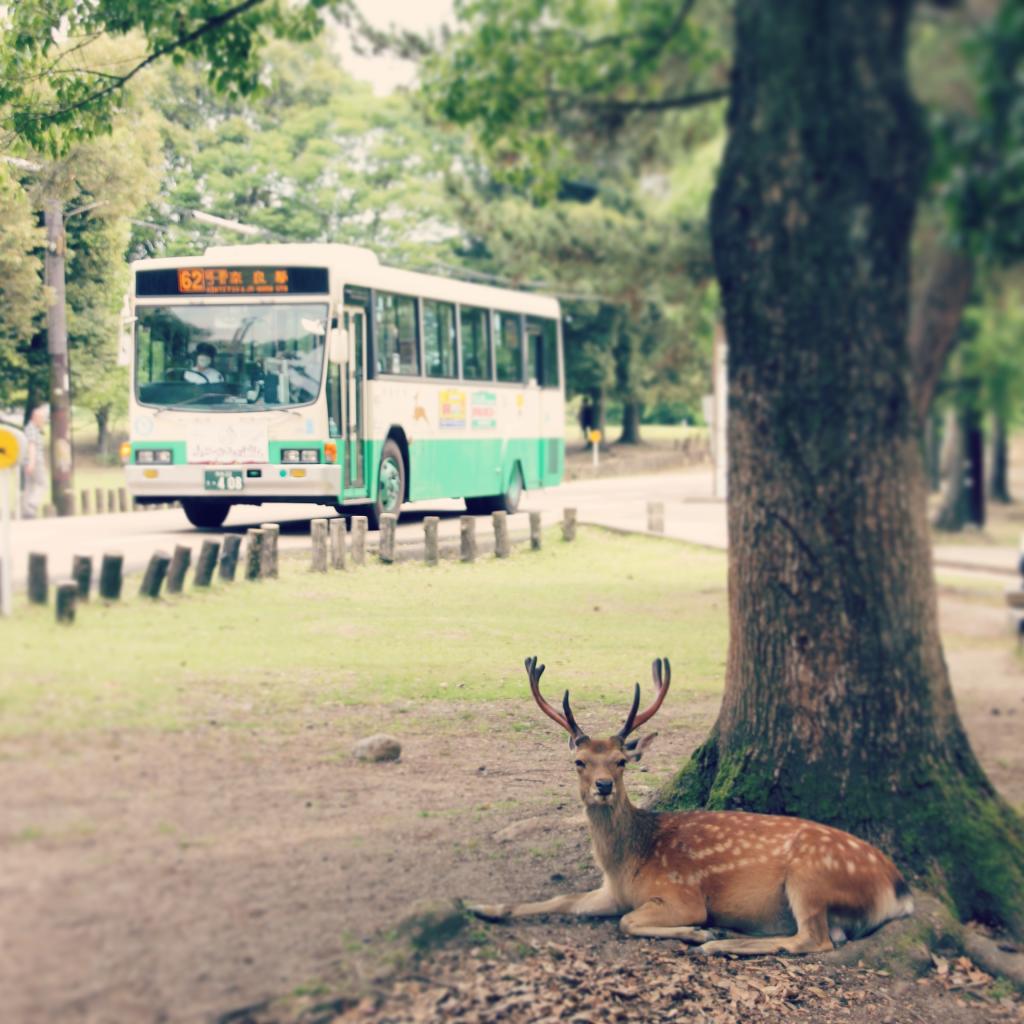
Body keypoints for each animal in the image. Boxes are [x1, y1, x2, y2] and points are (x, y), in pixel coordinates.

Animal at [468, 659, 917, 954]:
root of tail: (900, 889)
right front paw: (481, 906)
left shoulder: (682, 894)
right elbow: (560, 901)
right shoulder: (609, 892)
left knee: (815, 940)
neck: (627, 863)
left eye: (621, 761)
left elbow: (627, 921)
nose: (603, 786)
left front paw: (700, 933)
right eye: (579, 761)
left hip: (812, 876)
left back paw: (719, 944)